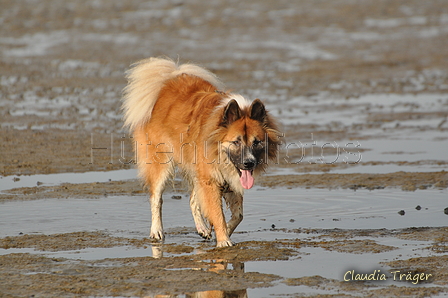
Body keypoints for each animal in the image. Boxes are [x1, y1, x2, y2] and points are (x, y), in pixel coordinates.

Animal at [121, 56, 278, 247]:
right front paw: (224, 240)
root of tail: (166, 84)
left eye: (257, 142)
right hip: (162, 163)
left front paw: (220, 231)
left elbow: (238, 215)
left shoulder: (225, 179)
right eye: (236, 142)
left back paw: (202, 228)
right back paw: (157, 231)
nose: (249, 163)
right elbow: (217, 213)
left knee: (192, 200)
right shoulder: (211, 180)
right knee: (156, 197)